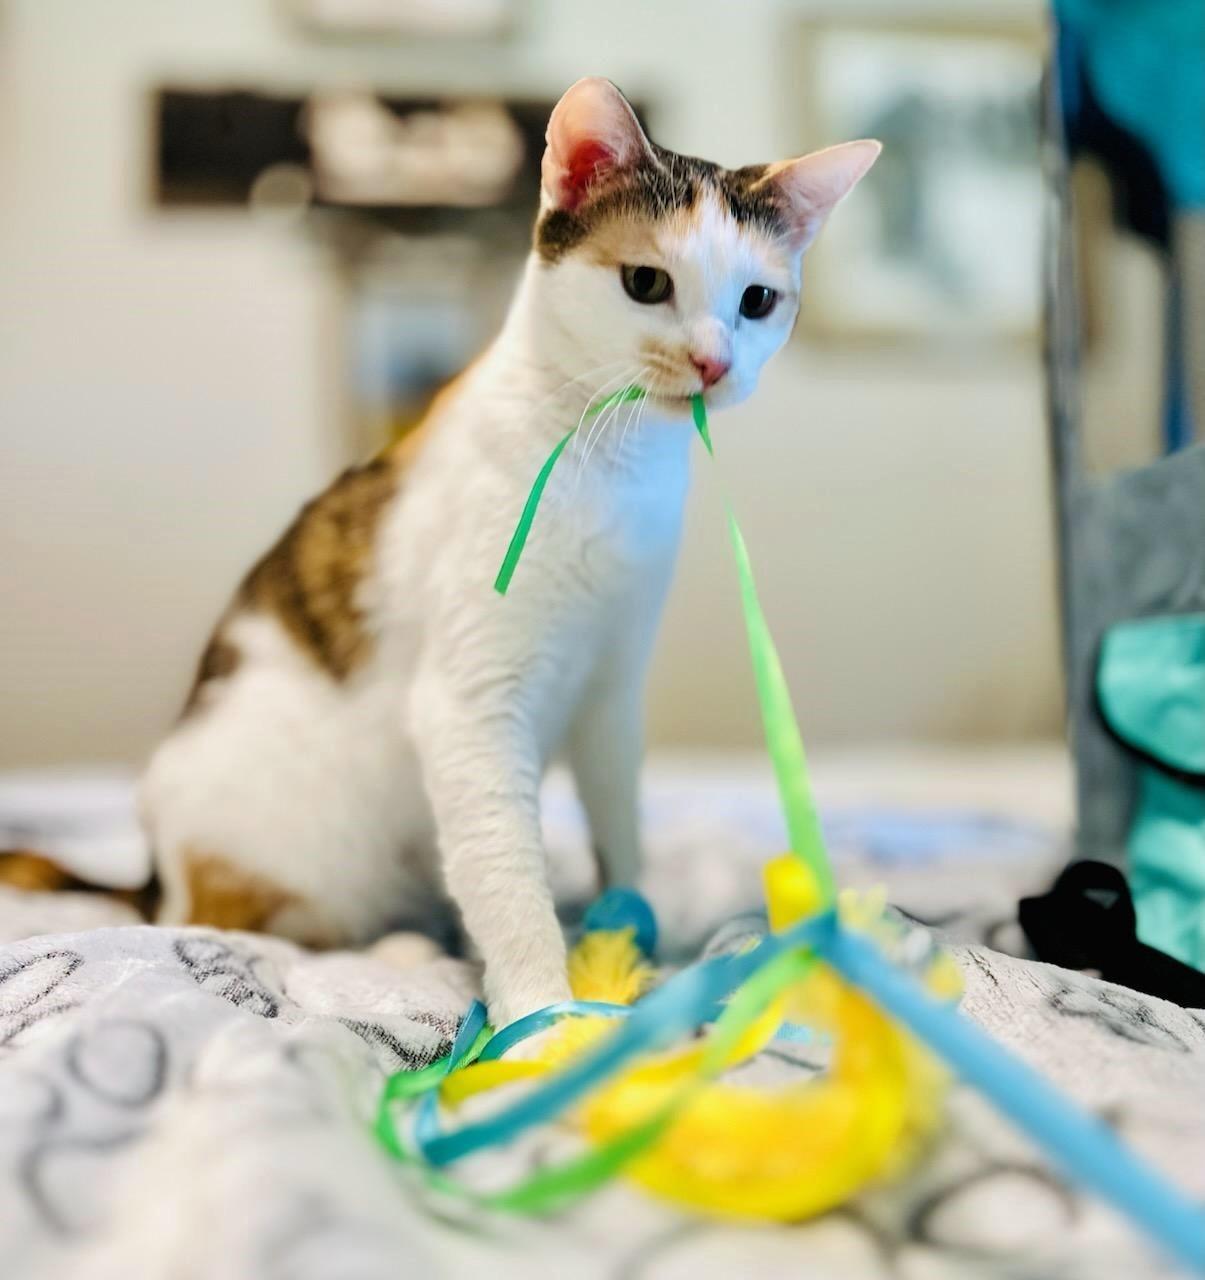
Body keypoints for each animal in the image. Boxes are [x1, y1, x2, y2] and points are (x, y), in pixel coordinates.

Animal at [4, 74, 881, 1024]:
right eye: (646, 282)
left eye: (756, 302)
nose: (714, 364)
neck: (611, 462)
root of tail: (150, 871)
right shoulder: (469, 705)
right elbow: (505, 870)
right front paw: (541, 1016)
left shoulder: (611, 690)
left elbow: (618, 826)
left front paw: (636, 949)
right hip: (285, 849)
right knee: (251, 927)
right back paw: (401, 948)